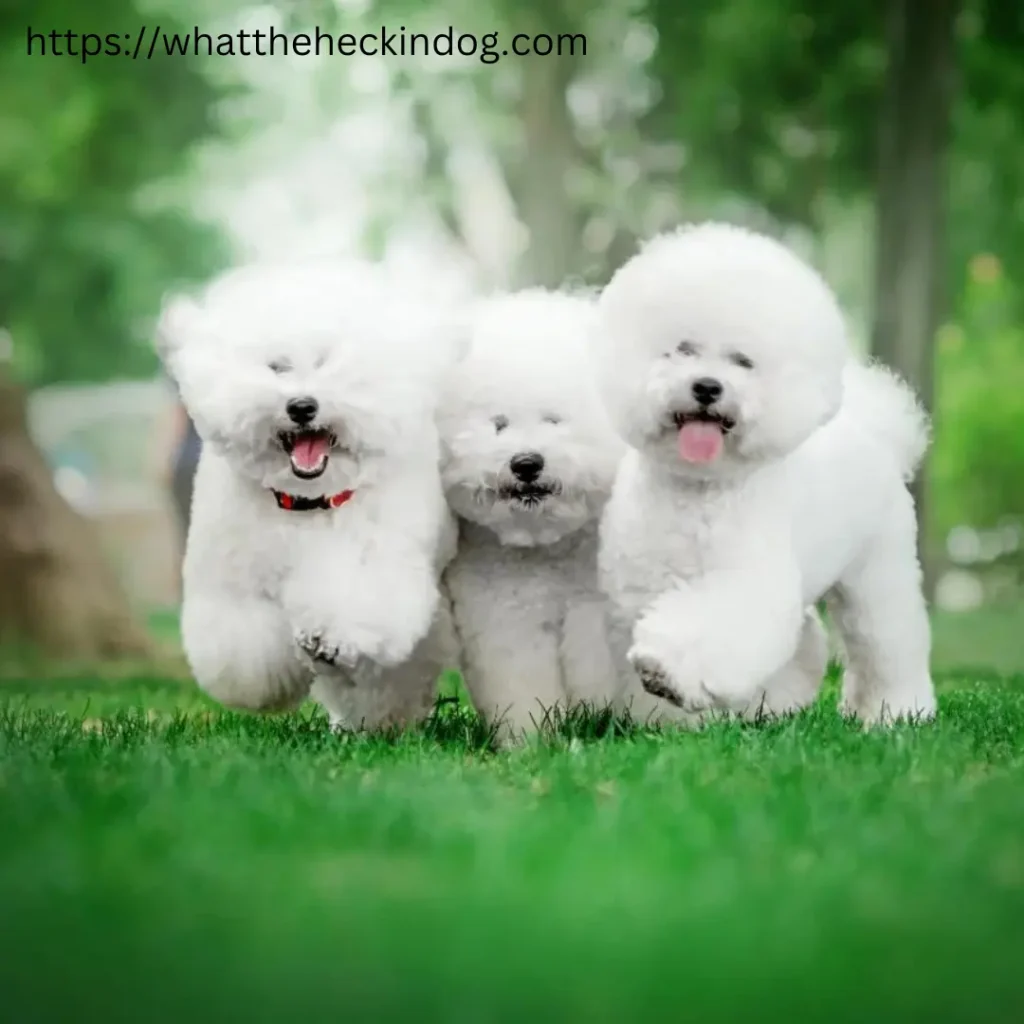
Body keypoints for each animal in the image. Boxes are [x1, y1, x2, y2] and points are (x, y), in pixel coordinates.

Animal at [593, 221, 937, 724]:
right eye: (683, 349)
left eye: (743, 361)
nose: (707, 387)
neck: (698, 489)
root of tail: (877, 432)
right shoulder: (642, 582)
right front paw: (674, 721)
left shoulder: (744, 581)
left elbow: (712, 627)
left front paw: (666, 671)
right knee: (806, 639)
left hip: (877, 568)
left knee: (886, 640)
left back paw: (896, 712)